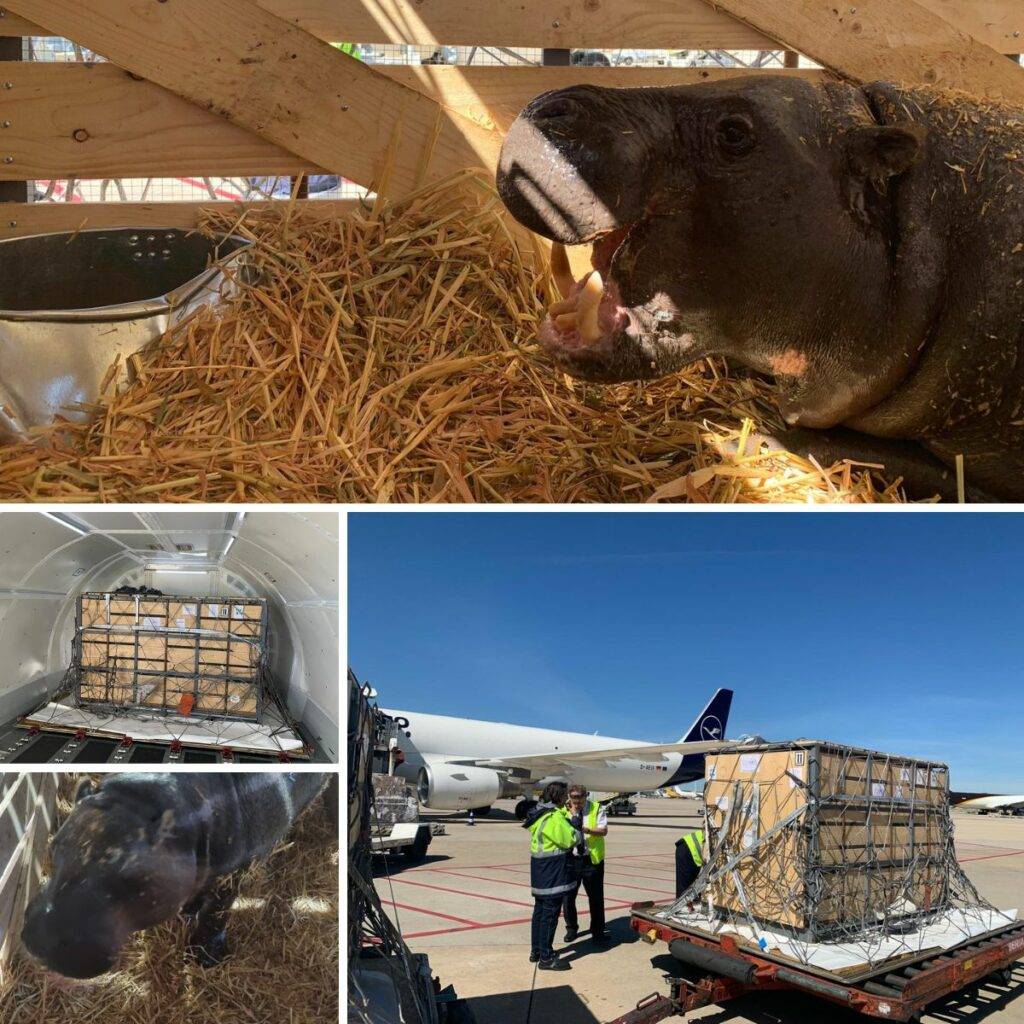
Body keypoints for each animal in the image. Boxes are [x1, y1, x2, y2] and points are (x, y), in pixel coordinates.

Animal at [20, 770, 335, 978]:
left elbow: (217, 911)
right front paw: (189, 912)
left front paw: (203, 960)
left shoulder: (234, 872)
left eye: (130, 874)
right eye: (54, 845)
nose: (39, 940)